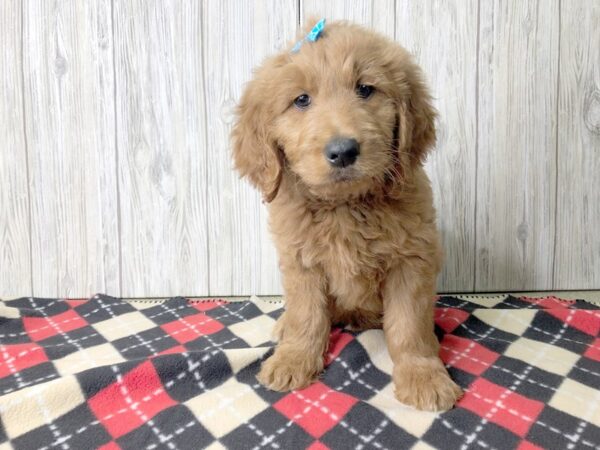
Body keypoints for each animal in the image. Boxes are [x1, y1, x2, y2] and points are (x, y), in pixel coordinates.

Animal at [230, 19, 460, 410]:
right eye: (301, 100)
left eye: (365, 89)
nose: (343, 151)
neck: (344, 206)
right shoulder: (301, 263)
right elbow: (306, 316)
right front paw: (293, 359)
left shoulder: (411, 262)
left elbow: (409, 327)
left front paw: (424, 375)